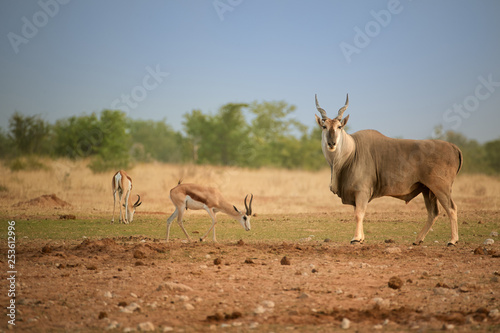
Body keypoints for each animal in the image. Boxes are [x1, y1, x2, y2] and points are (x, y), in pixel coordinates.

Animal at [314, 93, 462, 244]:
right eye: (324, 126)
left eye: (339, 127)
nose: (332, 143)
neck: (351, 152)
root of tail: (454, 147)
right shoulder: (356, 194)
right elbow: (359, 213)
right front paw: (361, 238)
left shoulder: (361, 191)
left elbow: (359, 214)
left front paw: (356, 238)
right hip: (427, 190)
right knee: (433, 213)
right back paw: (418, 240)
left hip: (440, 188)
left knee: (451, 208)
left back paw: (452, 240)